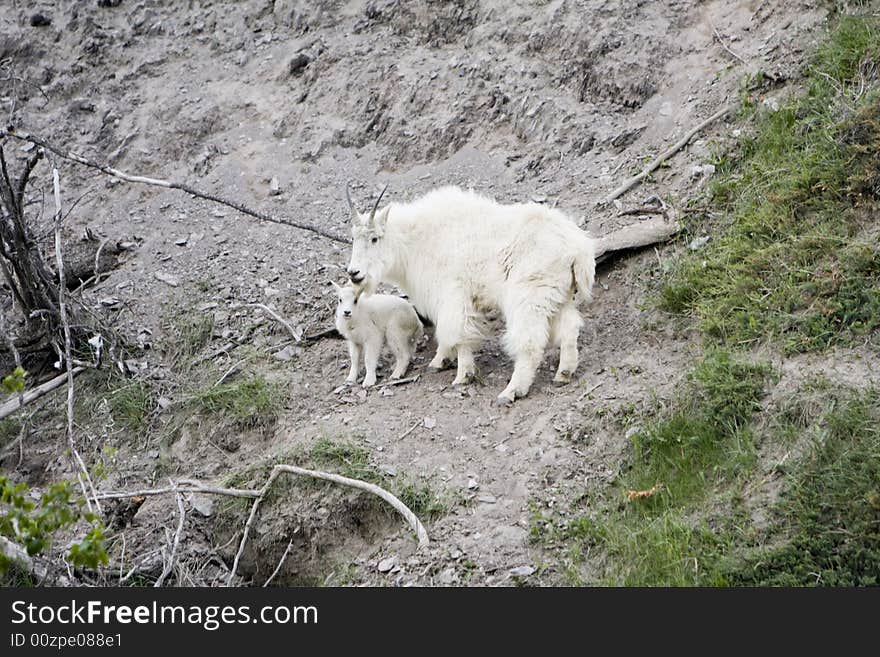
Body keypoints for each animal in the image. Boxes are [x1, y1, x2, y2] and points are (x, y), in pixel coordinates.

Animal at [348, 183, 596, 400]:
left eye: (374, 238)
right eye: (353, 239)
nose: (353, 273)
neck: (416, 241)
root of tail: (577, 248)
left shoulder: (453, 294)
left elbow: (457, 333)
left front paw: (462, 375)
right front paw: (440, 361)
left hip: (529, 296)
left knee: (530, 342)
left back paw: (512, 391)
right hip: (559, 296)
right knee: (570, 329)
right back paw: (564, 373)